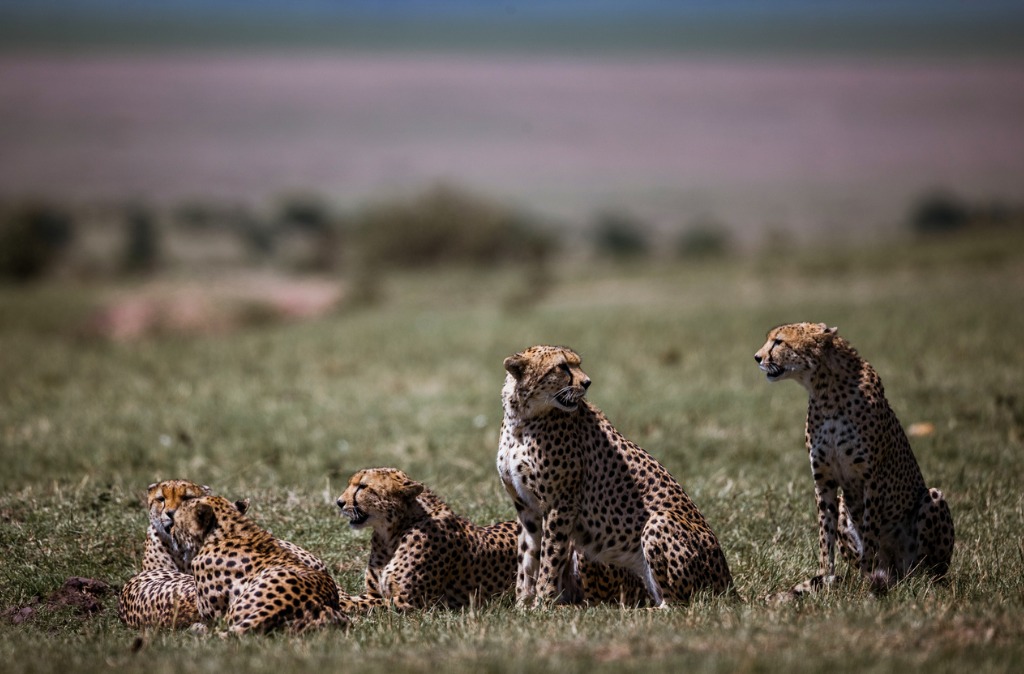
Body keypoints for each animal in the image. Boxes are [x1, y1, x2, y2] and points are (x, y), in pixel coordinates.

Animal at [497, 344, 733, 606]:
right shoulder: (527, 509)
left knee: (677, 603)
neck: (522, 419)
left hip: (659, 520)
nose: (587, 382)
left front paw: (544, 603)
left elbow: (550, 558)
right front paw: (522, 605)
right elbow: (527, 559)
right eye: (562, 367)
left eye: (577, 364)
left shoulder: (561, 505)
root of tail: (729, 583)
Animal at [757, 323, 954, 590]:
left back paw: (917, 580)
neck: (826, 391)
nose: (757, 357)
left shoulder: (871, 478)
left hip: (933, 499)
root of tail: (898, 571)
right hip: (844, 505)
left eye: (779, 341)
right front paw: (825, 579)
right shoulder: (824, 480)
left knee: (926, 570)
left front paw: (866, 580)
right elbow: (825, 534)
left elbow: (870, 531)